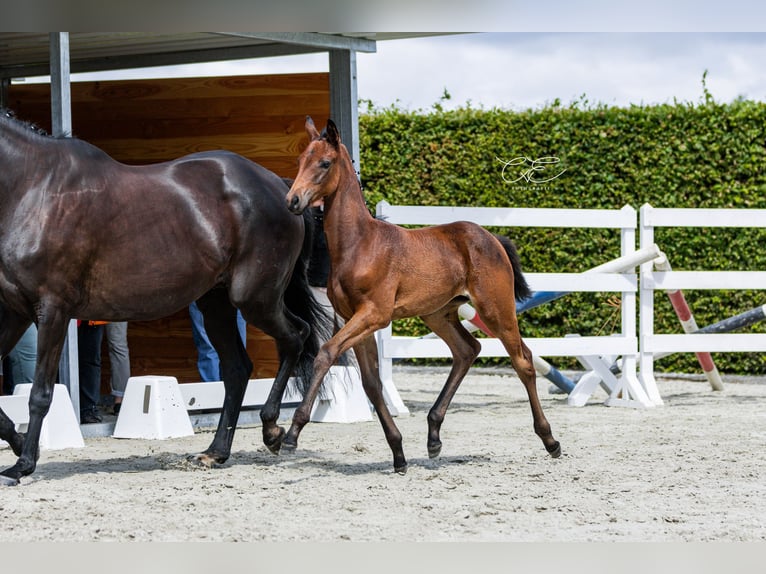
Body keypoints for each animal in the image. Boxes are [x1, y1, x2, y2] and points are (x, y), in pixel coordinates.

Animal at [0, 111, 328, 486]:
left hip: (255, 298)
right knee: (237, 368)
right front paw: (19, 444)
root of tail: (281, 187)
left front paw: (23, 464)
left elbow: (40, 393)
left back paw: (272, 430)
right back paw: (215, 452)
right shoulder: (16, 311)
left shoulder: (52, 311)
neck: (33, 188)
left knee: (295, 338)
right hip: (216, 303)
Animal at [284, 118, 560, 476]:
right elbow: (371, 384)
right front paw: (398, 453)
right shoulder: (355, 319)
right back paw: (433, 436)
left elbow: (326, 353)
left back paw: (550, 440)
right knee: (467, 350)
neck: (360, 243)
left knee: (523, 361)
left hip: (495, 310)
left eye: (325, 163)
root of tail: (492, 238)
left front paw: (291, 433)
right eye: (301, 160)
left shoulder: (375, 315)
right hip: (438, 313)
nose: (292, 200)